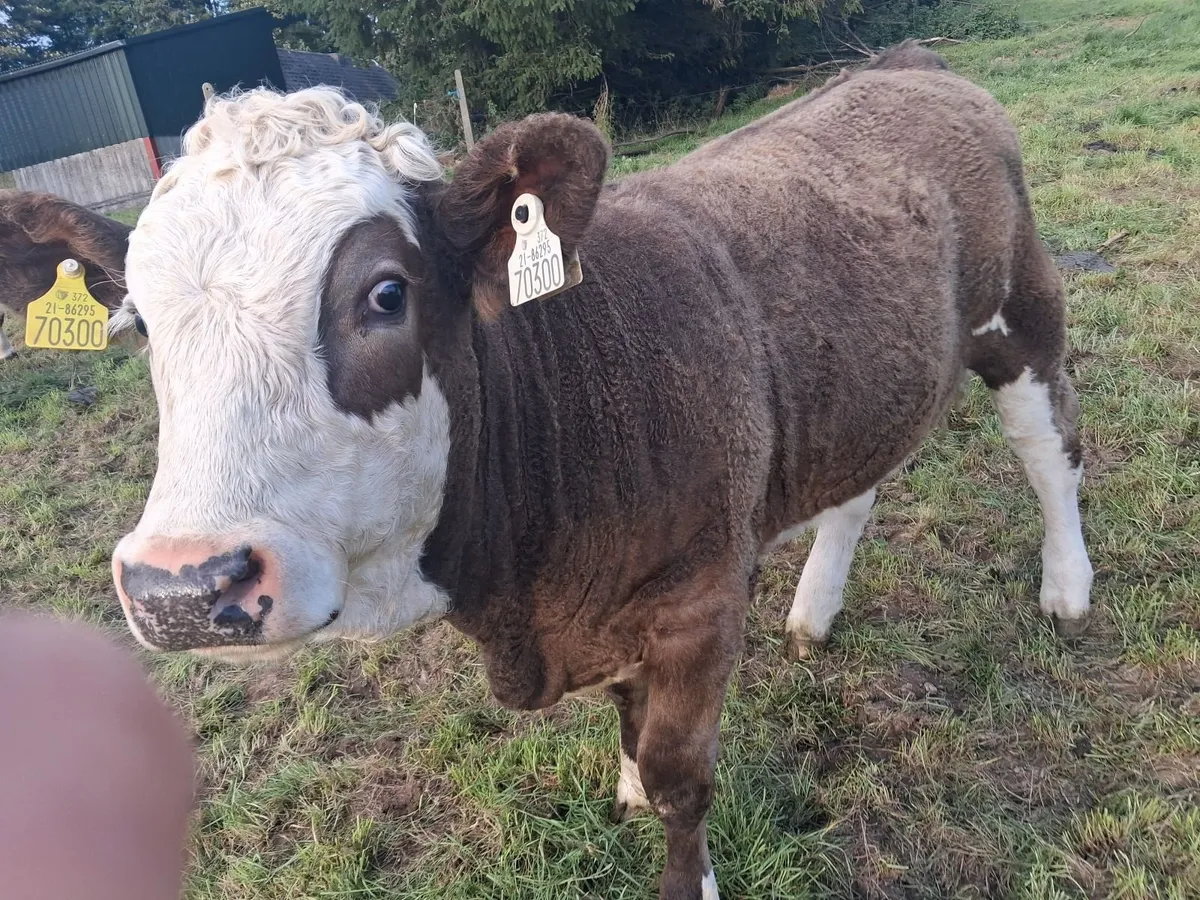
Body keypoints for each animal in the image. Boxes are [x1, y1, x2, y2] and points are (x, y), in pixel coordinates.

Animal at [29, 43, 1093, 898]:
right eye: (138, 324)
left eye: (386, 294)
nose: (181, 585)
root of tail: (905, 65)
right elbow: (631, 724)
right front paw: (623, 778)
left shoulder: (699, 598)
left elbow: (680, 780)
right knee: (861, 478)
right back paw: (815, 609)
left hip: (1022, 312)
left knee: (1052, 450)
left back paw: (1067, 589)